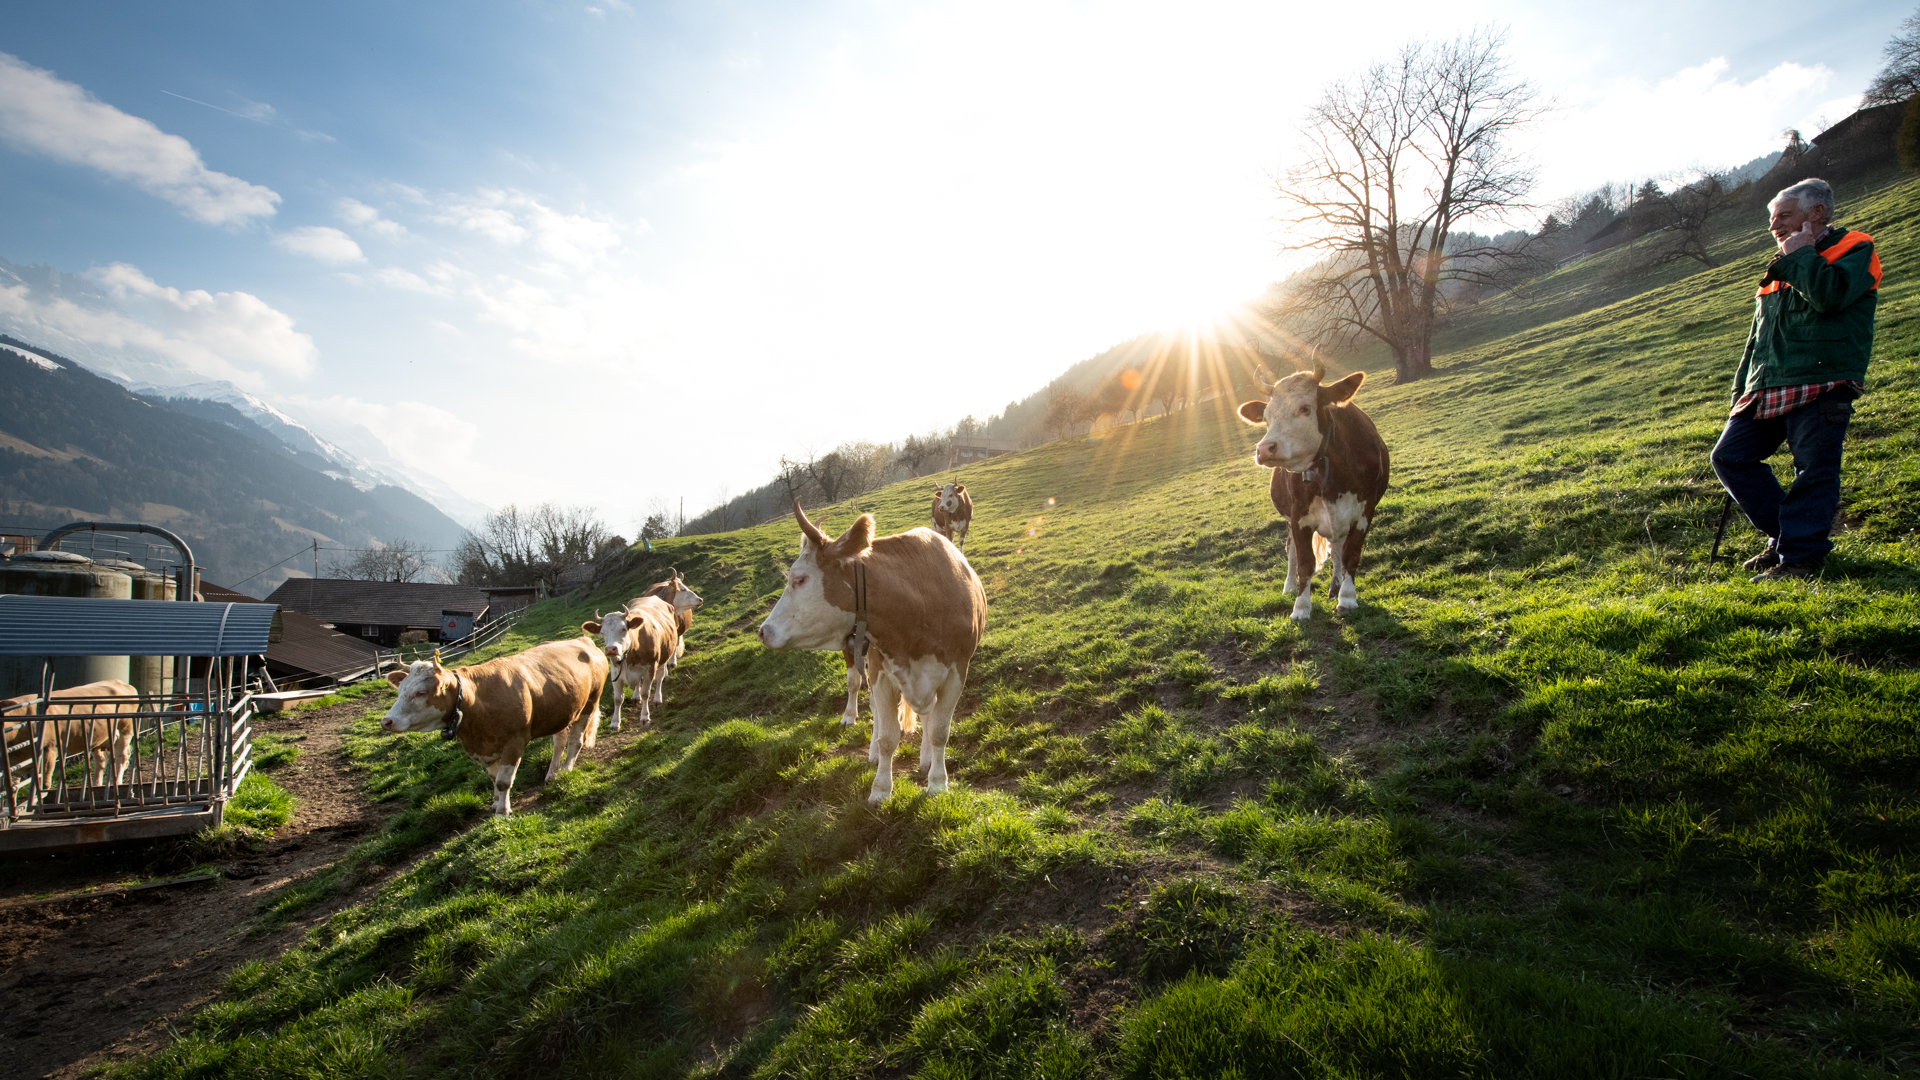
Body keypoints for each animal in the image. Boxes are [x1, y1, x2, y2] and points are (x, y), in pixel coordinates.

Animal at [0, 676, 139, 787]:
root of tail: (120, 682)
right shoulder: (14, 763)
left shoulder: (49, 749)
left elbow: (44, 783)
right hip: (100, 738)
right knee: (101, 760)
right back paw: (96, 785)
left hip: (125, 730)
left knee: (121, 757)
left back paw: (117, 783)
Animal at [378, 634, 602, 810]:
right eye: (400, 689)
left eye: (421, 692)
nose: (386, 721)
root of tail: (582, 639)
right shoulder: (482, 748)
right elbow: (494, 778)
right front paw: (495, 803)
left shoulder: (514, 742)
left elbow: (503, 781)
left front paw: (503, 811)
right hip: (562, 711)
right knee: (559, 741)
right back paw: (552, 773)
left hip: (589, 704)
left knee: (575, 741)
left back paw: (566, 769)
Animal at [583, 591, 683, 726]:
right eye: (602, 632)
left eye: (623, 629)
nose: (610, 649)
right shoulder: (615, 671)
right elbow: (617, 699)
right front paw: (615, 722)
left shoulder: (651, 667)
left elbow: (645, 693)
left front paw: (645, 716)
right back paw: (636, 696)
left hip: (663, 657)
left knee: (660, 676)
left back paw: (657, 698)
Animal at [752, 499, 983, 803]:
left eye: (799, 580)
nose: (763, 631)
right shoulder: (881, 673)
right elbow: (887, 736)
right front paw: (881, 788)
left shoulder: (957, 672)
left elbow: (938, 732)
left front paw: (937, 782)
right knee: (877, 711)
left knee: (925, 715)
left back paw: (925, 758)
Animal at [1236, 359, 1390, 618]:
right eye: (1266, 417)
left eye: (1305, 408)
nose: (1265, 449)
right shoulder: (1299, 517)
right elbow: (1304, 563)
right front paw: (1301, 607)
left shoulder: (1364, 512)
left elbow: (1350, 555)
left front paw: (1347, 598)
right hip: (1289, 519)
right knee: (1291, 551)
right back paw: (1289, 587)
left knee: (1336, 548)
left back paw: (1335, 586)